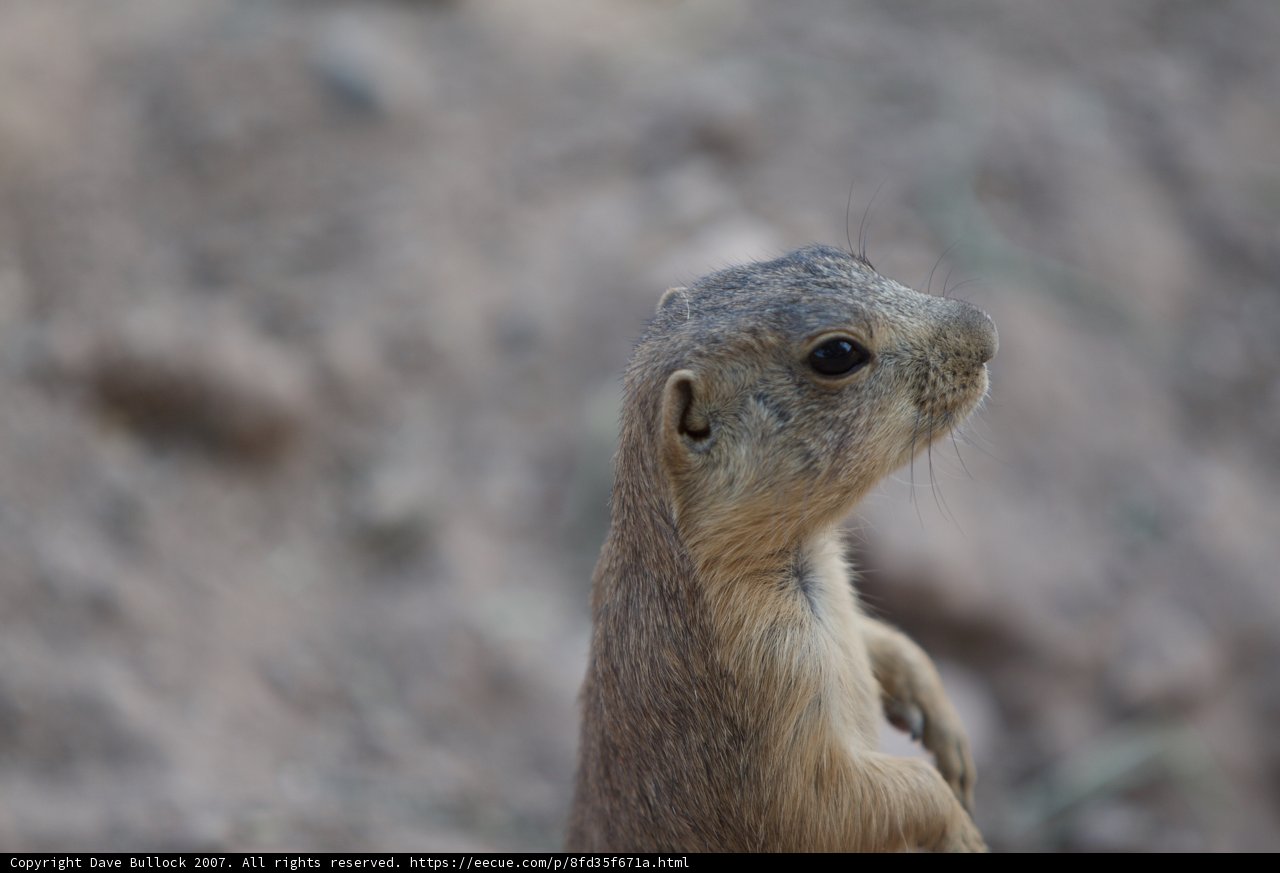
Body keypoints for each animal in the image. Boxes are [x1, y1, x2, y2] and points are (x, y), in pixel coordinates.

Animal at [567, 244, 996, 852]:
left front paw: (943, 729)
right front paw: (962, 828)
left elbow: (886, 640)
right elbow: (828, 802)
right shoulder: (767, 679)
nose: (988, 332)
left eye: (845, 257)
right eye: (837, 354)